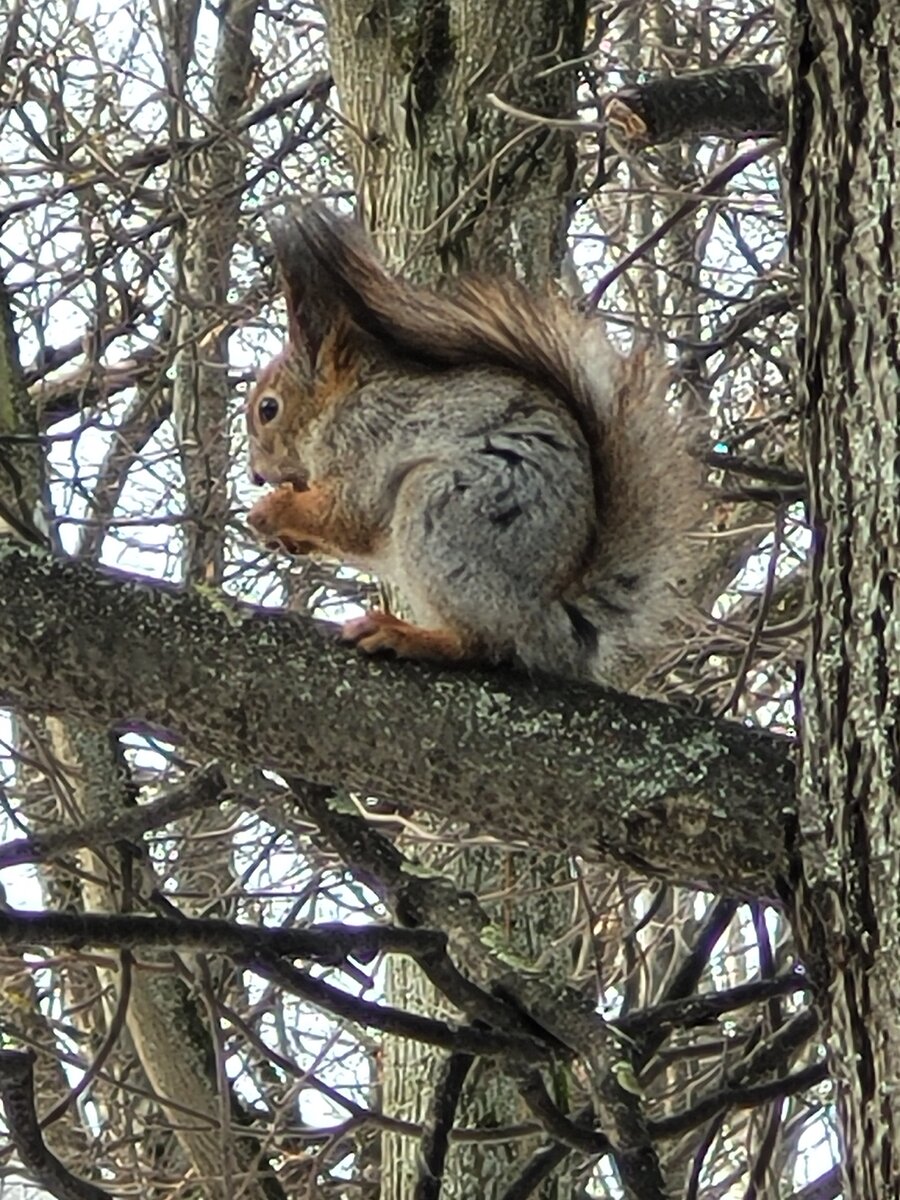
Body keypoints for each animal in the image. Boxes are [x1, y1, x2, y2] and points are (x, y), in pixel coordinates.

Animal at [248, 206, 705, 686]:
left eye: (268, 409)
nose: (255, 475)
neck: (338, 403)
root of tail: (550, 623)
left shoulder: (365, 438)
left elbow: (348, 515)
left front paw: (270, 511)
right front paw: (286, 537)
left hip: (442, 512)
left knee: (483, 645)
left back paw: (406, 636)